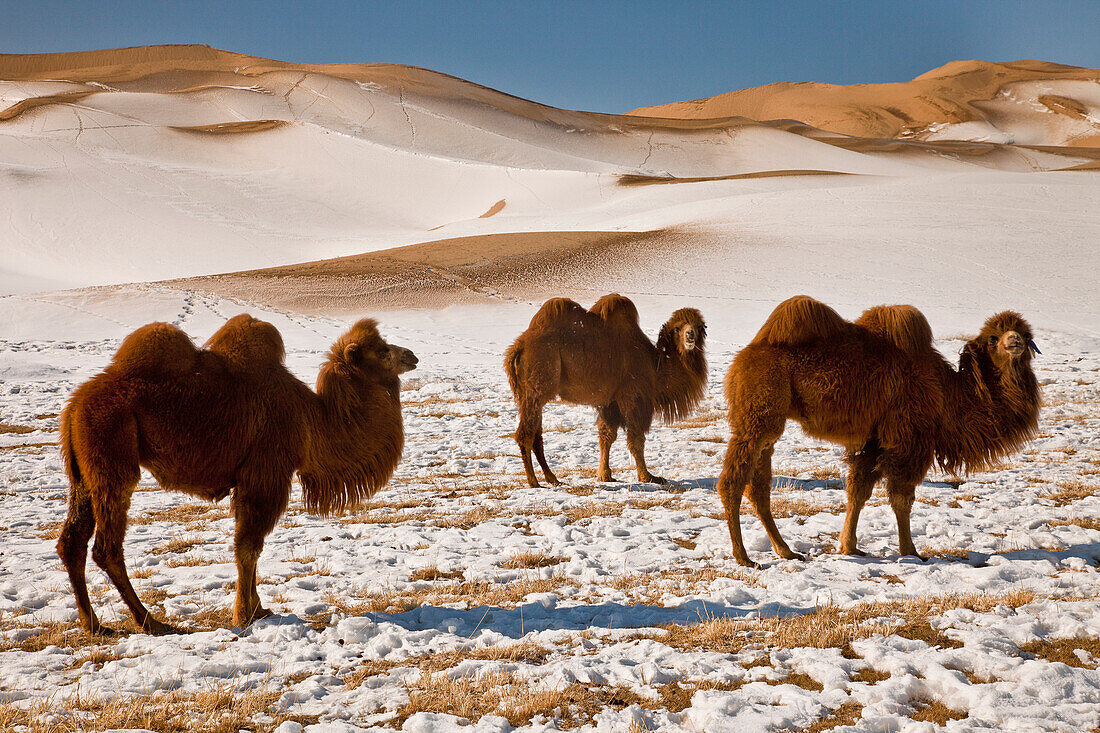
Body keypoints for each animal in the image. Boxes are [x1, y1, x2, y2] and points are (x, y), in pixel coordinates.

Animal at [56, 314, 415, 633]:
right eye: (382, 350)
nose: (411, 356)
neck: (313, 419)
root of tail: (74, 406)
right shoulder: (266, 473)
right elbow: (248, 546)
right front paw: (244, 615)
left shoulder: (254, 478)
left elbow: (251, 546)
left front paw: (259, 609)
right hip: (112, 458)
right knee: (107, 547)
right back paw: (151, 622)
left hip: (83, 474)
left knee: (72, 541)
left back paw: (94, 625)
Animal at [503, 290, 708, 484]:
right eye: (677, 328)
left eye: (699, 326)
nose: (690, 335)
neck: (655, 364)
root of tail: (518, 348)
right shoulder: (633, 396)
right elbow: (636, 438)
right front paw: (648, 477)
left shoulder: (611, 402)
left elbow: (606, 436)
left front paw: (604, 475)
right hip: (538, 383)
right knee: (525, 434)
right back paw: (534, 482)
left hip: (528, 394)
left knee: (536, 435)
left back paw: (552, 478)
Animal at [721, 294, 1038, 563]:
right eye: (993, 338)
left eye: (1025, 334)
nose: (1014, 342)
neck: (947, 392)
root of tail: (744, 358)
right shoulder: (908, 438)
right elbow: (901, 497)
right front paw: (911, 551)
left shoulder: (874, 440)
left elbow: (858, 490)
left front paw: (849, 546)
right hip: (758, 411)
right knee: (732, 481)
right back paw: (743, 557)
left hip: (767, 421)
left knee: (758, 485)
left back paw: (785, 551)